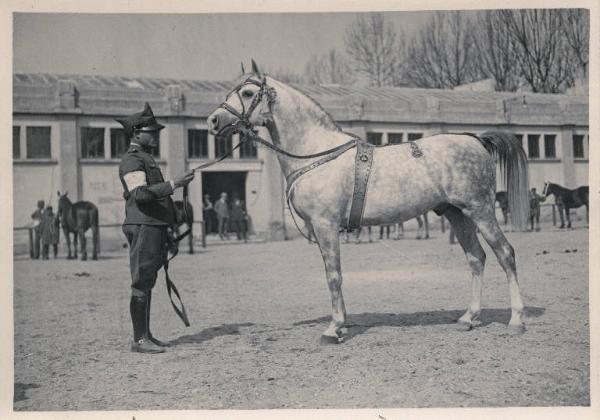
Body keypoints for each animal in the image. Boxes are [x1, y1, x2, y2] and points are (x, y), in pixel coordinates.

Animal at [207, 60, 528, 342]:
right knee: (476, 258)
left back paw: (516, 320)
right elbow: (334, 274)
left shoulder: (325, 225)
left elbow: (333, 276)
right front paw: (341, 323)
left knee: (506, 254)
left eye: (248, 93)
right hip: (457, 214)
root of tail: (477, 140)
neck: (317, 152)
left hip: (480, 211)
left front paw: (333, 328)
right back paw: (468, 317)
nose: (213, 121)